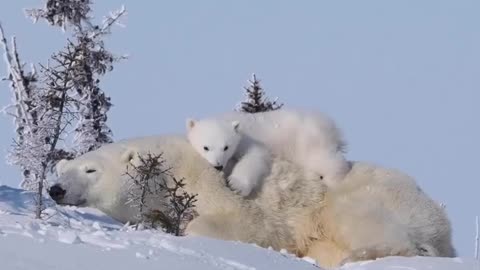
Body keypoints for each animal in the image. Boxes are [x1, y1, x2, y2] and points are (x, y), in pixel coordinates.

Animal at [50, 135, 456, 268]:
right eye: (64, 169)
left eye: (90, 169)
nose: (56, 190)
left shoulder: (219, 184)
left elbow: (246, 223)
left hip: (369, 195)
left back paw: (359, 255)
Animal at [185, 108, 348, 191]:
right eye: (206, 147)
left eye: (226, 147)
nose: (218, 166)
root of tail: (331, 126)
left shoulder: (249, 140)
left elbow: (255, 157)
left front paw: (236, 184)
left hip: (305, 141)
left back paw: (333, 180)